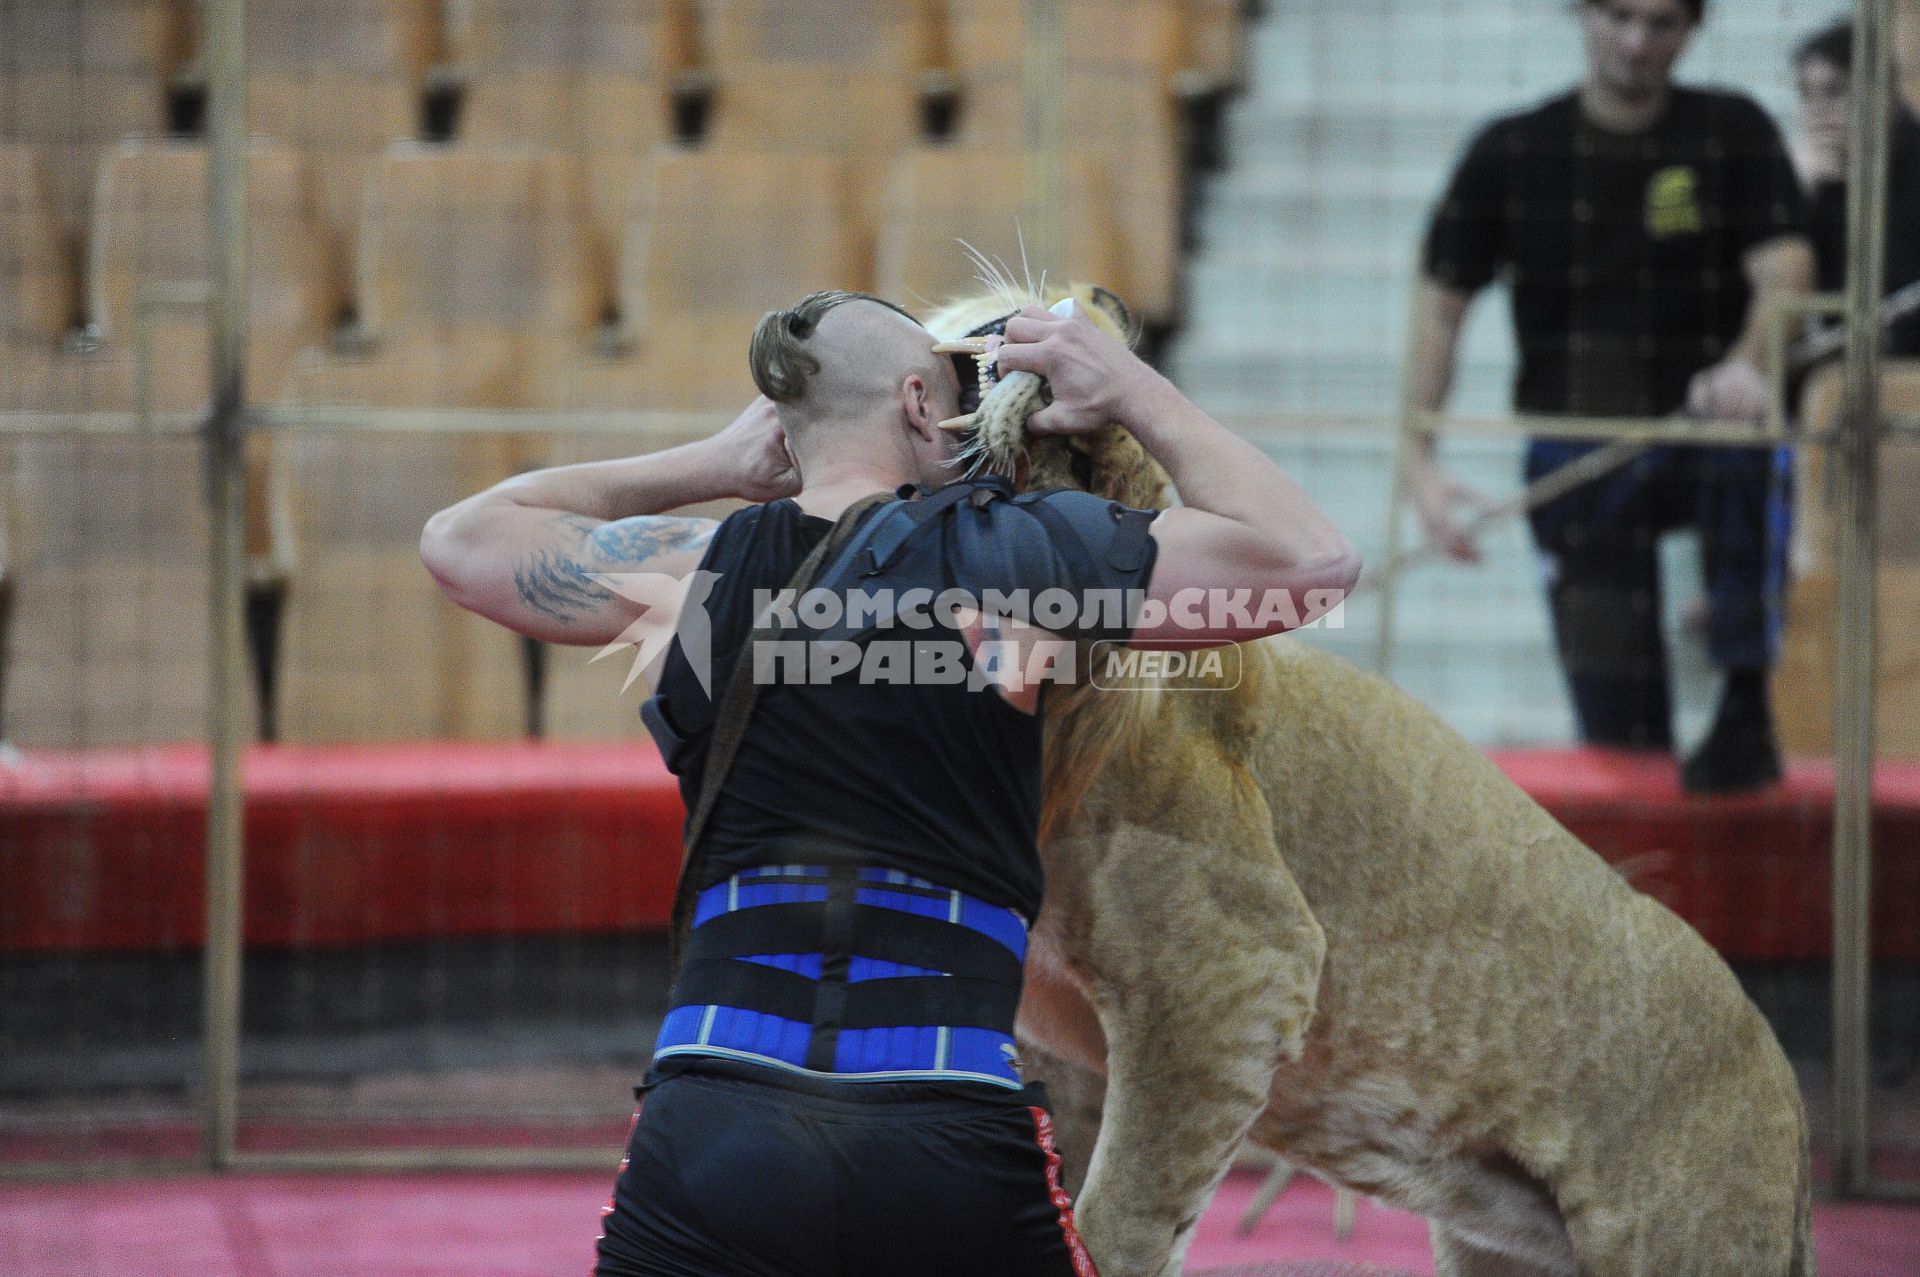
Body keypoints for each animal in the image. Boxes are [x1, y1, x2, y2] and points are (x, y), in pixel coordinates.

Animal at [921, 274, 1804, 1267]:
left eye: (1081, 462)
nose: (1068, 371)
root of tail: (1786, 1092)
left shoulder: (1235, 974)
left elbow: (1119, 1213)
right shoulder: (1066, 1056)